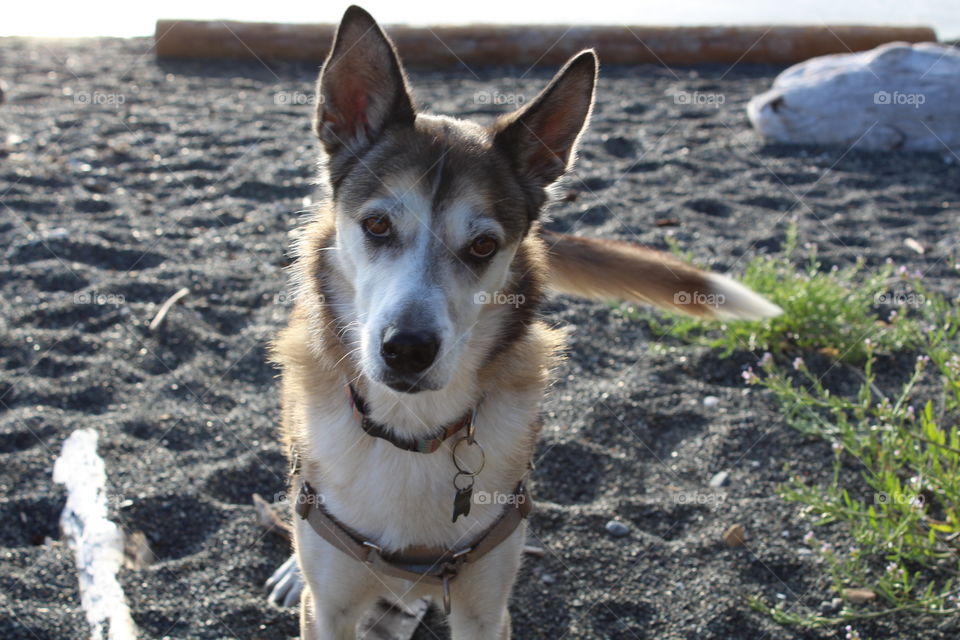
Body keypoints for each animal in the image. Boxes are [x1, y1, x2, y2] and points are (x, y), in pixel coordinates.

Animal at [268, 6, 780, 640]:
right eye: (378, 225)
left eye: (484, 245)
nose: (407, 349)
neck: (412, 430)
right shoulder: (330, 610)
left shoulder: (484, 609)